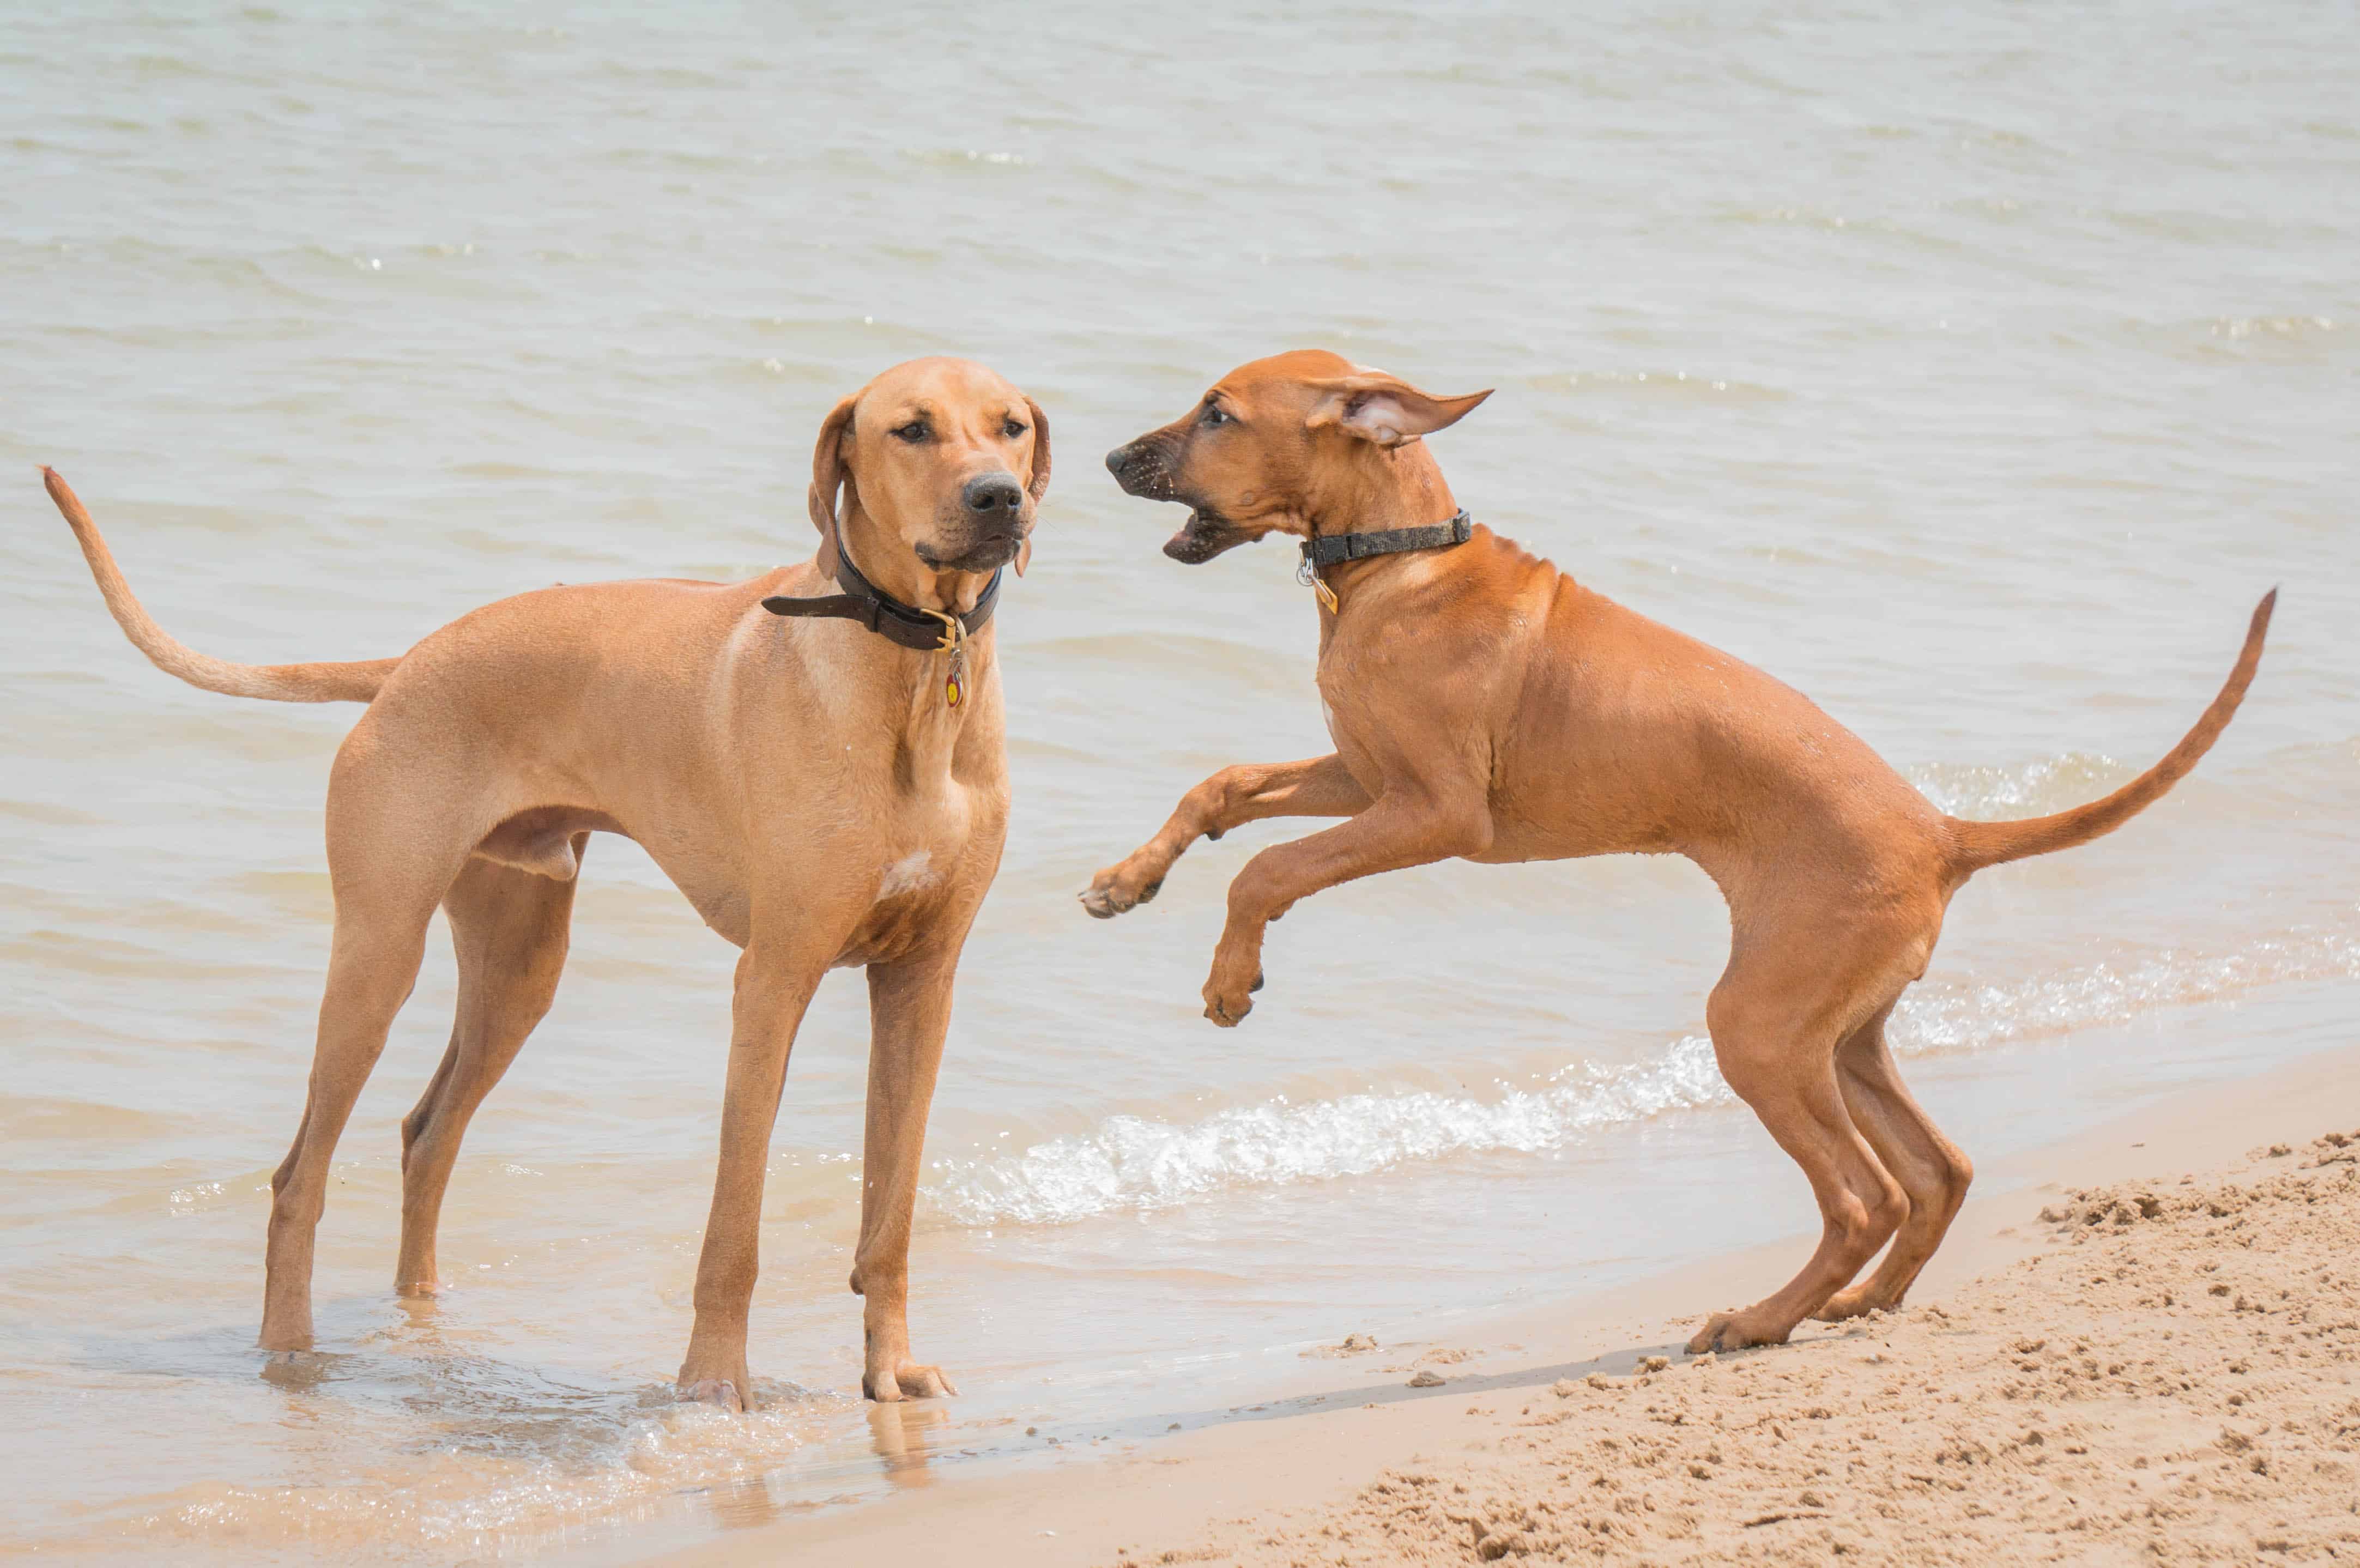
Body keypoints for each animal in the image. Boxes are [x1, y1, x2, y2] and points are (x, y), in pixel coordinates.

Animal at [34, 354, 1052, 1407]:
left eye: (1010, 426)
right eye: (912, 428)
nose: (998, 498)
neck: (912, 664)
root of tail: (408, 661)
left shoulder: (921, 983)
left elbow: (892, 1212)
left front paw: (890, 1366)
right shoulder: (773, 979)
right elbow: (735, 1219)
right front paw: (712, 1381)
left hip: (519, 962)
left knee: (427, 1132)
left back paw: (423, 1313)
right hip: (378, 955)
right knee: (298, 1176)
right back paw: (290, 1352)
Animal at [1085, 349, 2265, 1351]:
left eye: (1218, 415)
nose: (1107, 458)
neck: (1395, 562)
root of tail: (1942, 831)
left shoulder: (1435, 815)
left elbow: (1268, 867)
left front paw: (1230, 979)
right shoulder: (1367, 777)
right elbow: (1222, 787)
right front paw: (1124, 881)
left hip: (1758, 1027)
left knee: (1864, 1196)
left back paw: (1757, 1319)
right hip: (1838, 1031)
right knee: (1939, 1170)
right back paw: (1857, 1304)